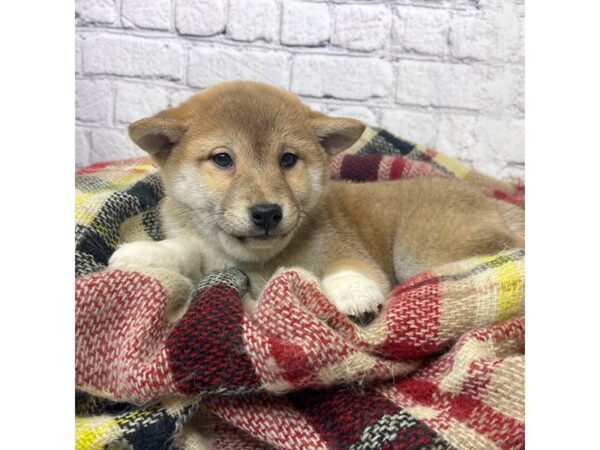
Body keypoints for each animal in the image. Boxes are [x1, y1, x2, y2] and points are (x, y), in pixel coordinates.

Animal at [109, 81, 524, 326]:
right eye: (223, 159)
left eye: (288, 159)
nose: (267, 212)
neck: (259, 263)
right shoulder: (205, 252)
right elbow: (184, 249)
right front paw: (144, 254)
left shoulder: (345, 246)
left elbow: (350, 268)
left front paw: (354, 293)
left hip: (420, 252)